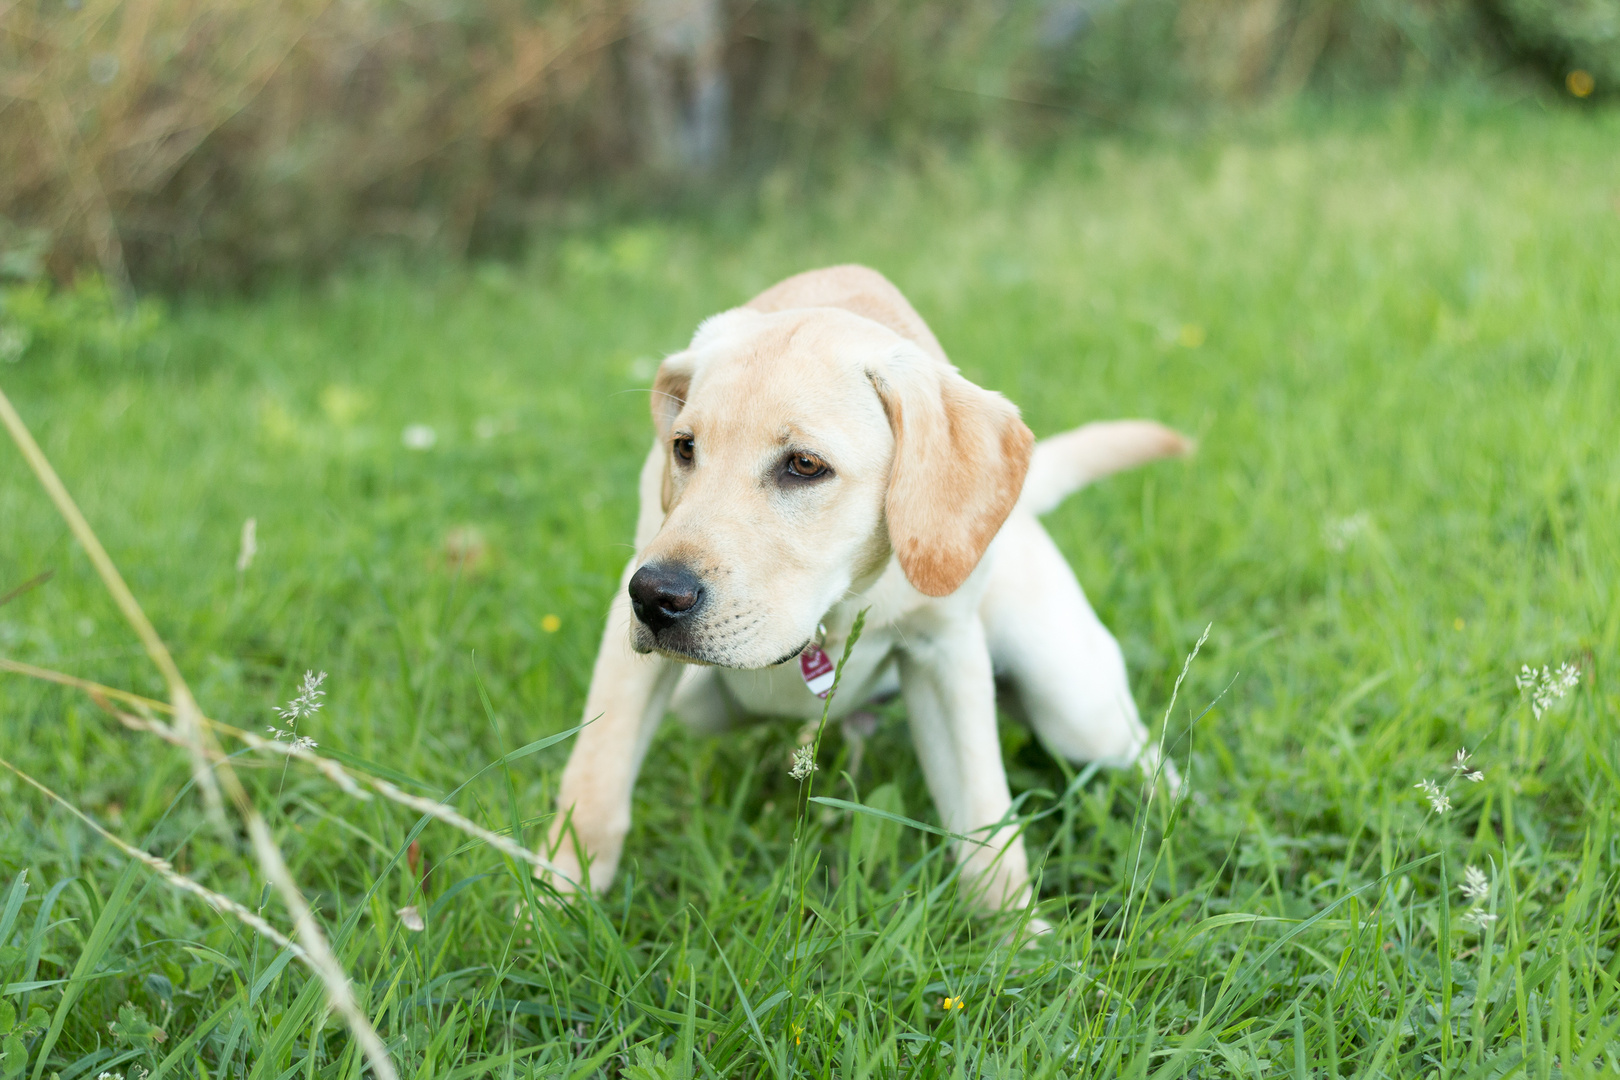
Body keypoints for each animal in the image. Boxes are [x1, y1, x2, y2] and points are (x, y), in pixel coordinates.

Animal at [544, 263, 1192, 913]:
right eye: (683, 448)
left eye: (805, 465)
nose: (653, 598)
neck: (840, 605)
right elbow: (594, 789)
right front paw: (554, 901)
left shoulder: (946, 655)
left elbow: (986, 826)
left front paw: (1016, 933)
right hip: (699, 703)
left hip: (1074, 703)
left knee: (1144, 750)